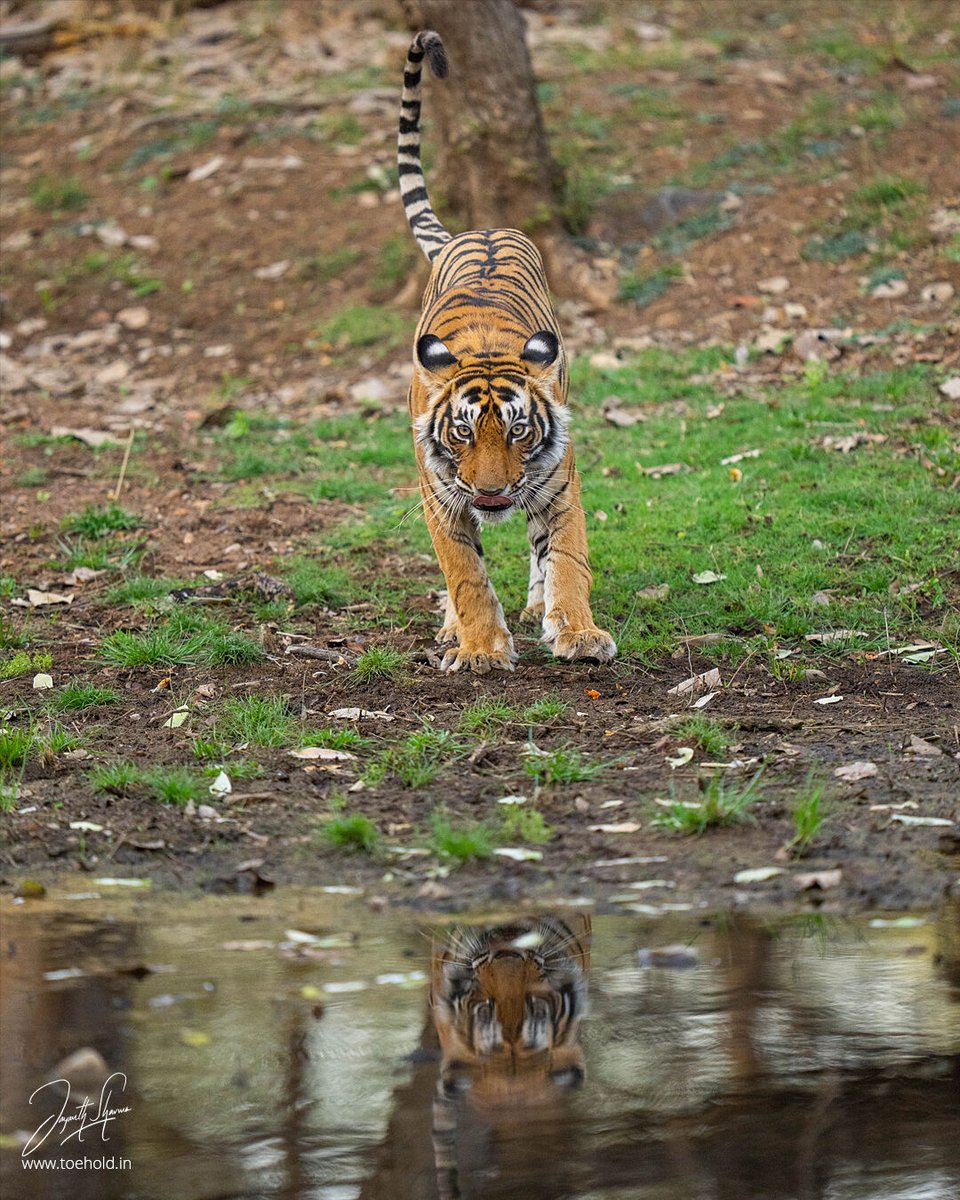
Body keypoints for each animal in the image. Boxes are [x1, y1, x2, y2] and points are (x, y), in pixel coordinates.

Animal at [396, 30, 614, 676]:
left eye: (518, 430)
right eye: (464, 432)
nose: (492, 493)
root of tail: (477, 229)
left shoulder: (559, 484)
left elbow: (566, 558)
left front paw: (578, 632)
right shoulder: (440, 496)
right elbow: (465, 573)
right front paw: (480, 649)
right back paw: (454, 628)